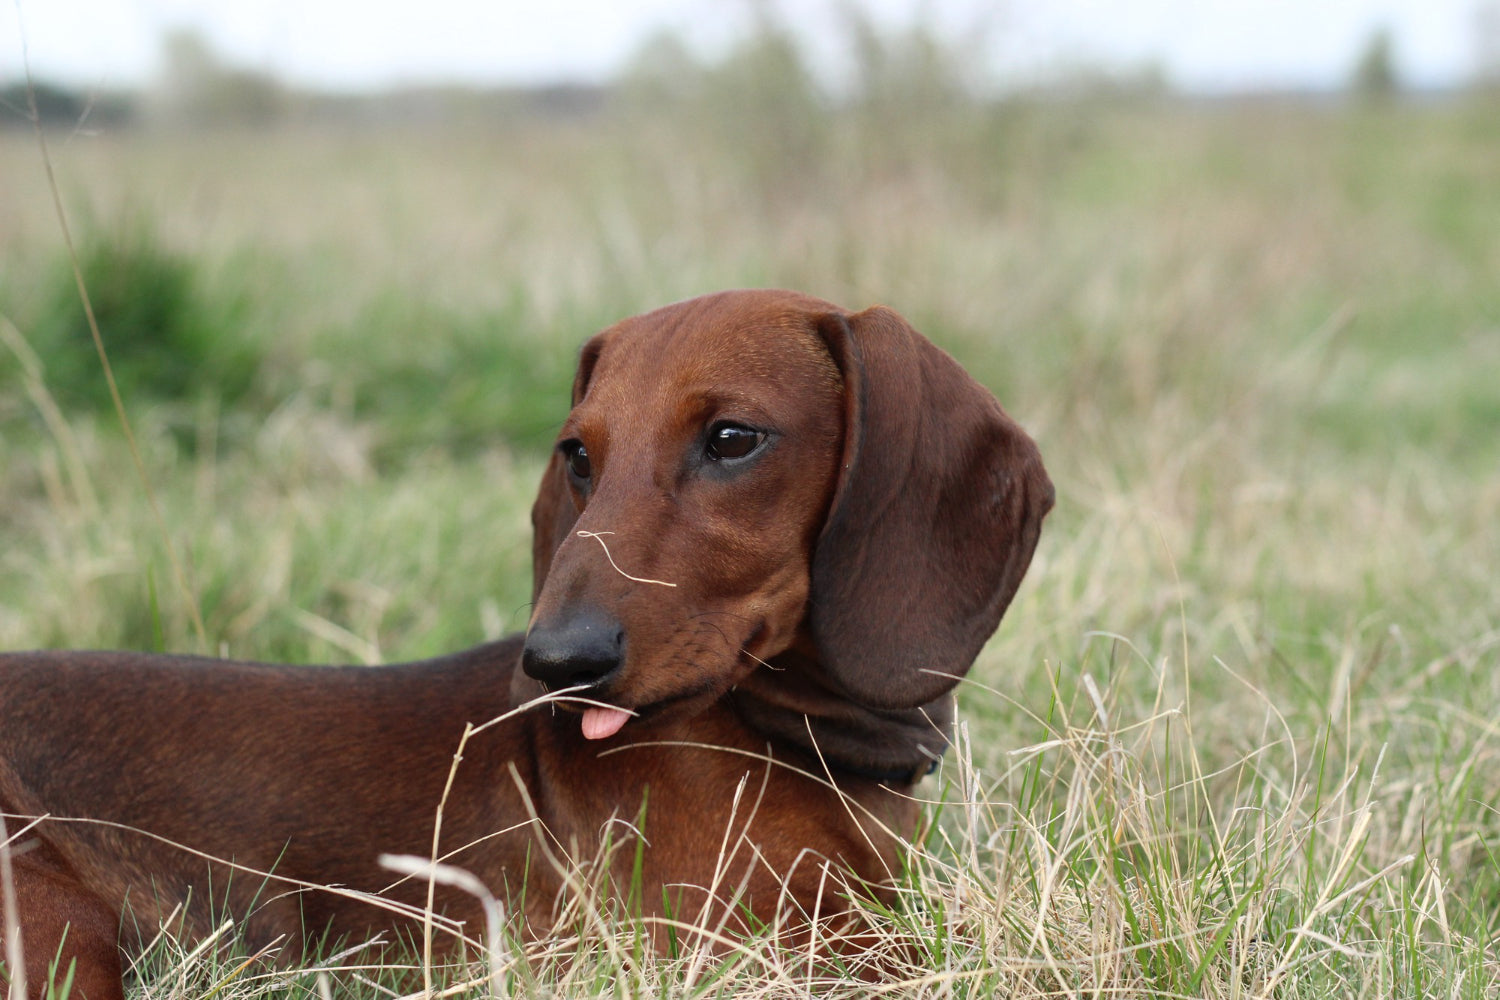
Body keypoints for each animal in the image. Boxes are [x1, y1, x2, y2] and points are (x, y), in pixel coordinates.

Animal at [0, 287, 1056, 995]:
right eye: (579, 453)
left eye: (732, 438)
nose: (555, 664)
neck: (797, 742)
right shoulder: (769, 953)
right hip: (61, 918)